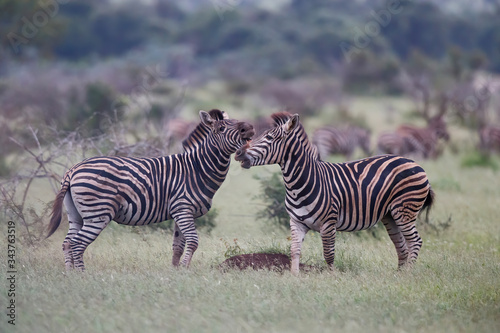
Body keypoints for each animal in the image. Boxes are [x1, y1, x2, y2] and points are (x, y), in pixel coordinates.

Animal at [47, 109, 254, 270]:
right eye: (221, 128)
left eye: (236, 121)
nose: (250, 128)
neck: (197, 169)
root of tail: (74, 169)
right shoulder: (183, 209)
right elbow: (194, 241)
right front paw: (185, 269)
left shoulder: (180, 213)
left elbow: (178, 246)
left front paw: (175, 271)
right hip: (98, 213)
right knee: (77, 244)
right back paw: (82, 275)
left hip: (76, 214)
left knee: (67, 243)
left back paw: (70, 273)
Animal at [234, 113, 434, 274]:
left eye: (268, 137)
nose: (237, 153)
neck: (299, 184)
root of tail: (413, 162)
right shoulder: (296, 222)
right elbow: (294, 251)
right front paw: (294, 277)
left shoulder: (328, 223)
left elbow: (328, 254)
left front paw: (331, 277)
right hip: (390, 215)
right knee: (402, 246)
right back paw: (398, 274)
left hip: (405, 210)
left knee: (415, 241)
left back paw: (407, 275)